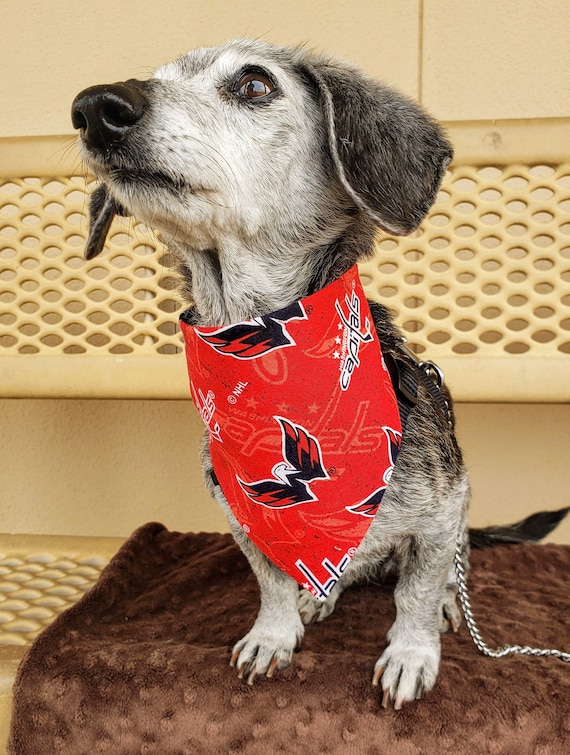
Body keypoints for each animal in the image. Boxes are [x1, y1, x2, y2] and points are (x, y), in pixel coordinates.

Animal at [71, 38, 564, 712]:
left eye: (254, 84)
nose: (96, 107)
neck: (265, 353)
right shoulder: (244, 520)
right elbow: (272, 583)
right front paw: (274, 633)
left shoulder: (442, 514)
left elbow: (414, 594)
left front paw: (412, 653)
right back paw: (320, 593)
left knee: (437, 575)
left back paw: (440, 604)